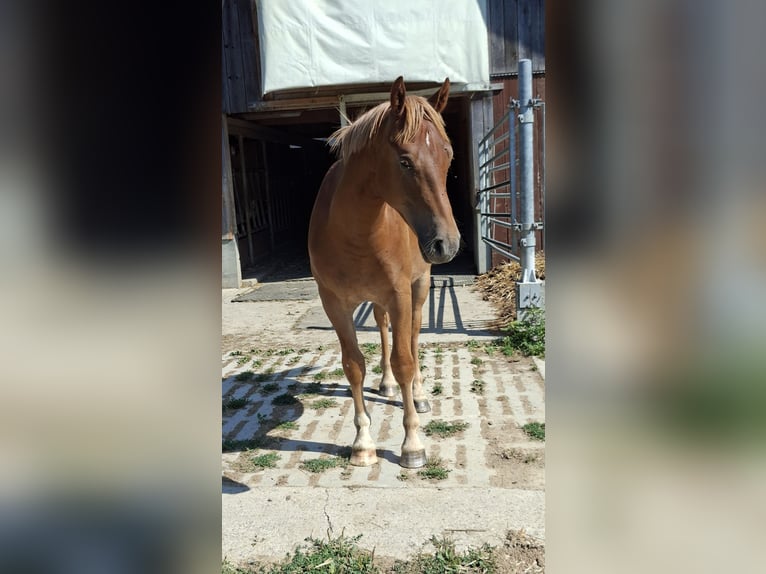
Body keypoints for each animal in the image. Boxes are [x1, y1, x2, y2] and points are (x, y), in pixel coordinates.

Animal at [307, 77, 460, 468]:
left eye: (448, 155)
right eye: (405, 162)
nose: (448, 244)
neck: (355, 232)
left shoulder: (400, 294)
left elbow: (405, 359)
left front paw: (412, 445)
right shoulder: (335, 304)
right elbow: (354, 366)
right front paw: (363, 443)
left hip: (419, 289)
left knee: (414, 337)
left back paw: (418, 395)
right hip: (376, 301)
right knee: (382, 328)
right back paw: (387, 384)